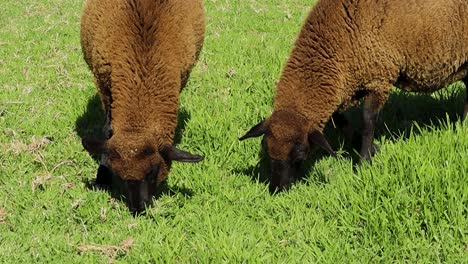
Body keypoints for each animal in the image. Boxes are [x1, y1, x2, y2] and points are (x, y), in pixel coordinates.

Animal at [80, 0, 205, 214]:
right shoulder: (104, 86)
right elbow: (107, 132)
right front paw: (102, 179)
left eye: (153, 172)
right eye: (120, 176)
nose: (138, 209)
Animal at [241, 0, 468, 191]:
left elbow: (368, 121)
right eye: (265, 148)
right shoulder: (343, 86)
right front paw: (367, 146)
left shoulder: (378, 79)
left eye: (300, 153)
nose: (276, 189)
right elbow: (340, 120)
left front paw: (364, 162)